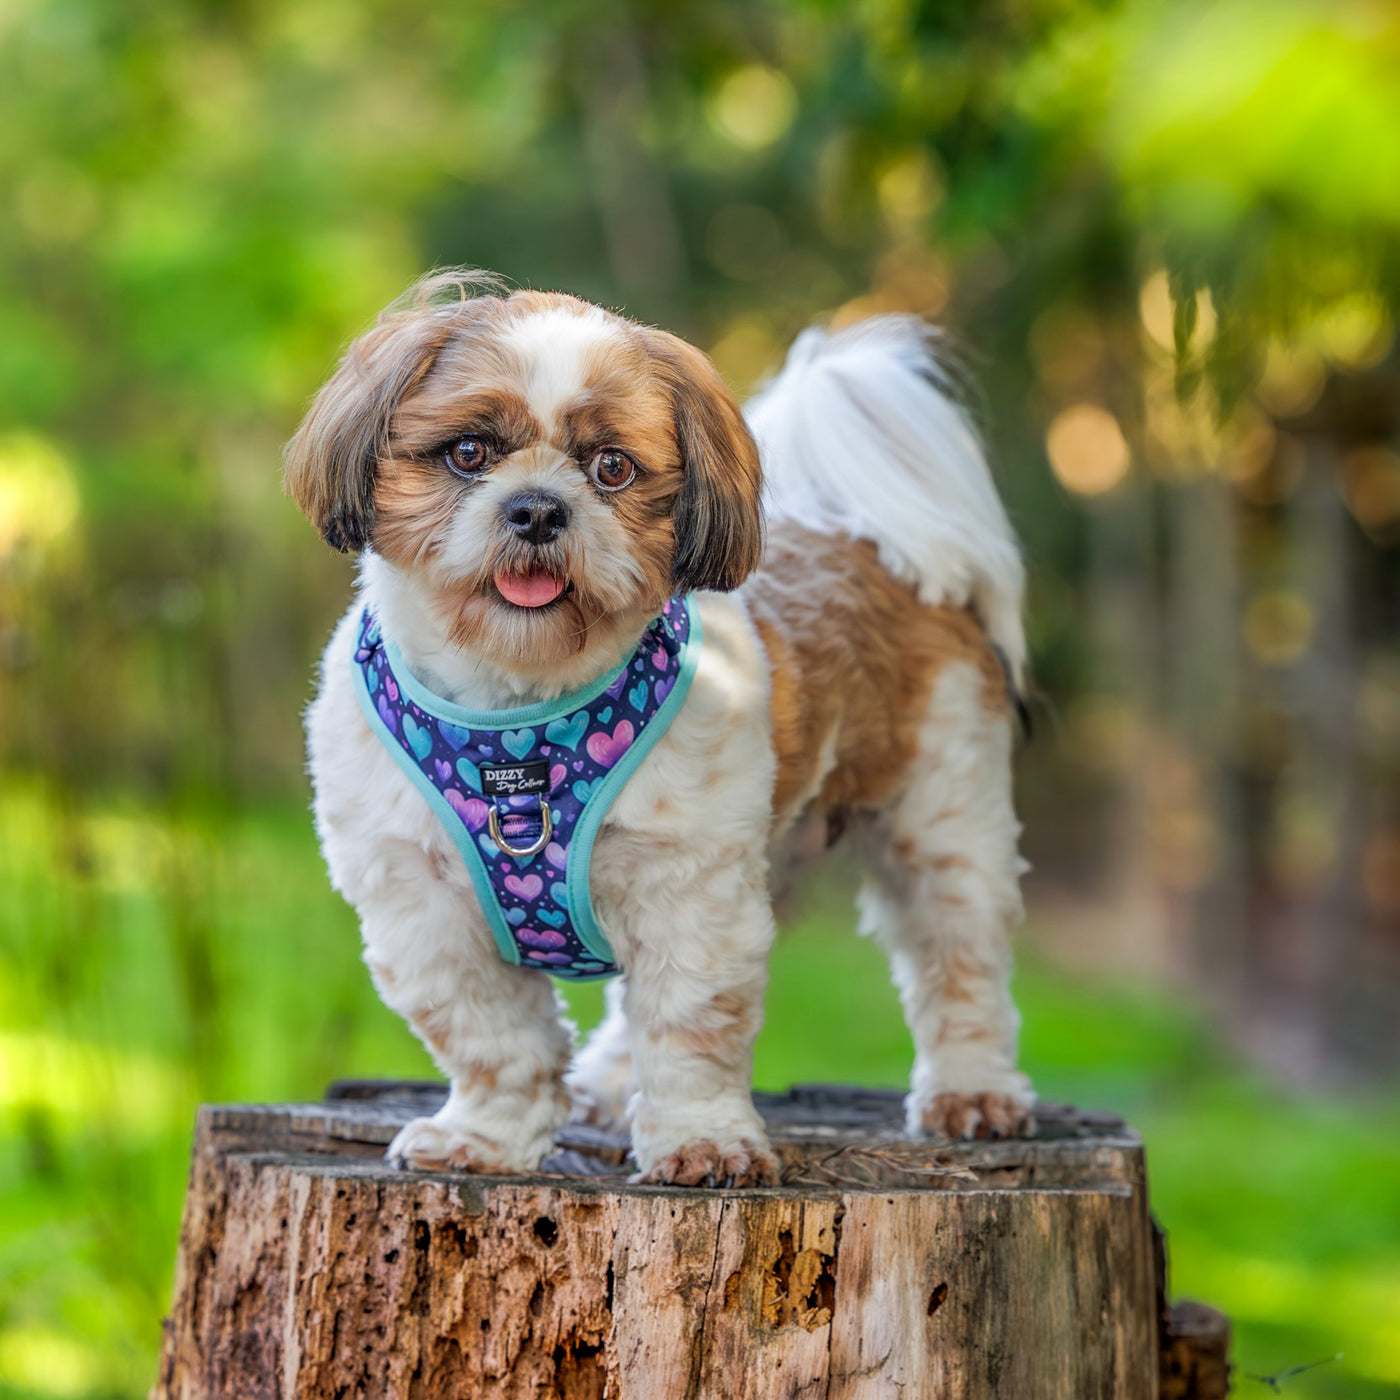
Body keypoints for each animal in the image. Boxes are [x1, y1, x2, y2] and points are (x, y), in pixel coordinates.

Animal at [284, 270, 1036, 1181]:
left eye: (612, 467)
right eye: (468, 453)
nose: (538, 508)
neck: (517, 718)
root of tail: (879, 543)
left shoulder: (692, 892)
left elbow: (689, 1024)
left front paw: (703, 1139)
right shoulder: (422, 905)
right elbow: (492, 1036)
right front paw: (486, 1138)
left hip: (942, 822)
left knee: (959, 959)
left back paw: (974, 1090)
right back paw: (607, 1084)